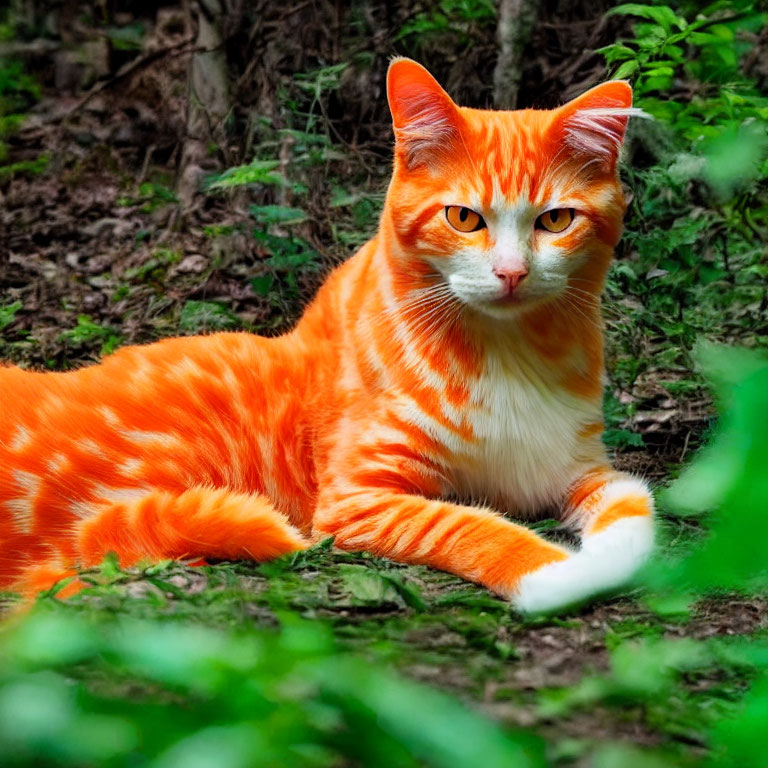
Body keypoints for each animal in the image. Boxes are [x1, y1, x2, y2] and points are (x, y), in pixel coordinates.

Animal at [0, 58, 656, 612]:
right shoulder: (356, 500)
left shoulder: (582, 468)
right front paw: (556, 571)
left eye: (556, 220)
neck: (507, 349)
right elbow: (463, 523)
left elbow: (635, 505)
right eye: (464, 218)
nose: (512, 273)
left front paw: (601, 560)